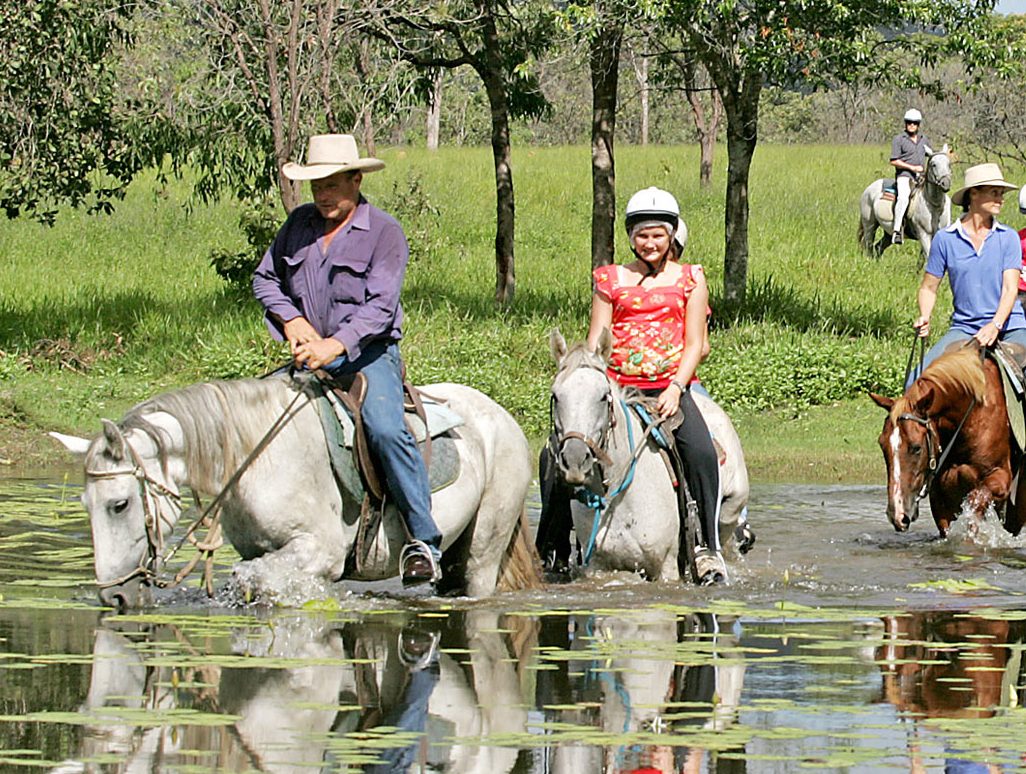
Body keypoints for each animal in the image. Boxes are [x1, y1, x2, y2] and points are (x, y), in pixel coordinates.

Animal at [52, 371, 541, 607]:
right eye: (85, 505)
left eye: (119, 504)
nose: (114, 596)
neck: (257, 453)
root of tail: (502, 417)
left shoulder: (317, 554)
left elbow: (257, 580)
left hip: (482, 552)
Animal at [549, 330, 751, 578]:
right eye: (556, 396)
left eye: (603, 396)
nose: (575, 460)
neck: (618, 496)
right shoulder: (598, 566)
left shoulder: (666, 566)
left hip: (730, 509)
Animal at [870, 344, 1026, 537]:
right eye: (882, 445)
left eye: (917, 448)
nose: (897, 515)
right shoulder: (940, 494)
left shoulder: (1000, 477)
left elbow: (975, 503)